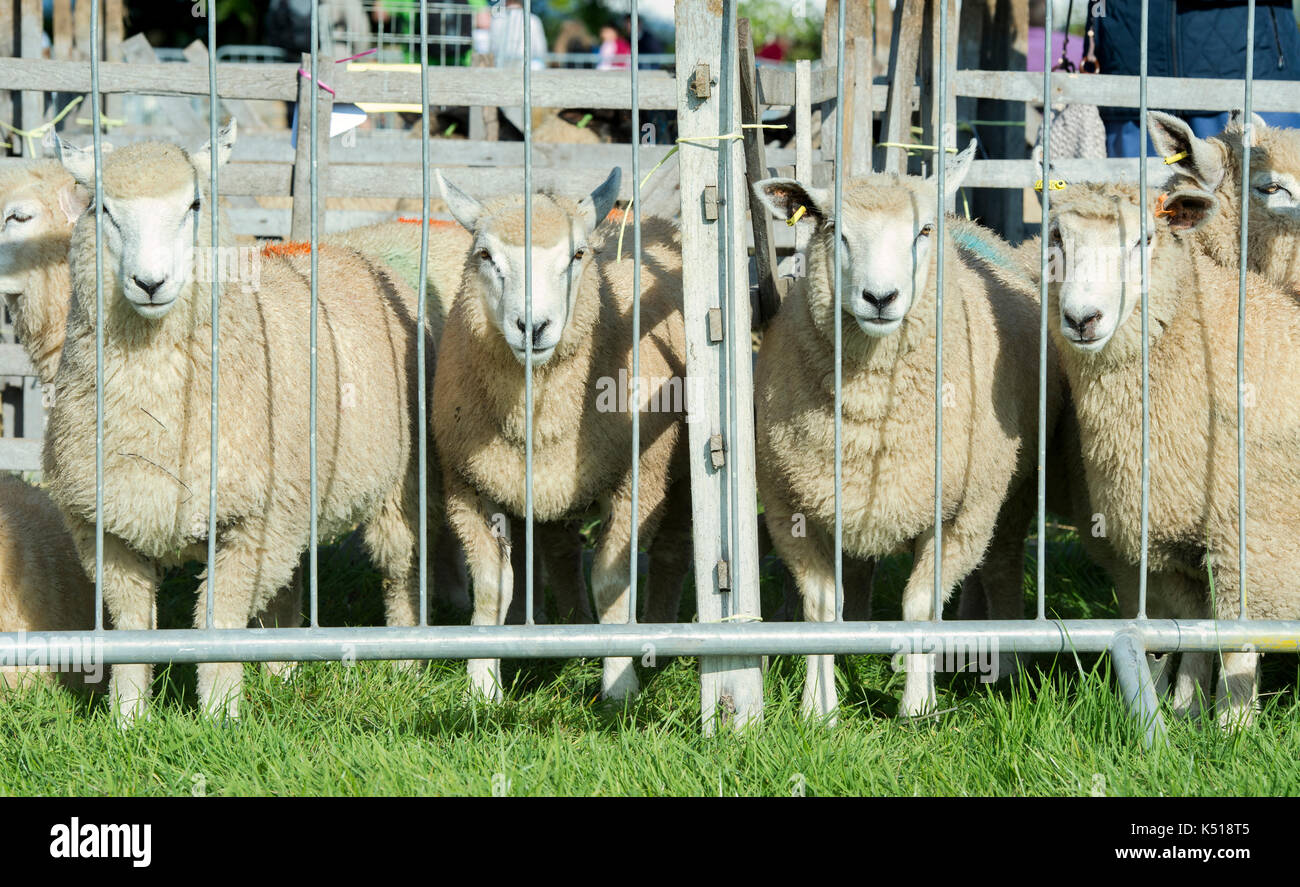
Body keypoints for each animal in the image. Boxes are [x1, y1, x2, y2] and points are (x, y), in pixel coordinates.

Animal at [45, 120, 436, 717]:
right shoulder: (104, 526)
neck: (159, 415)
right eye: (104, 209)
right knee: (288, 587)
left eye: (195, 205)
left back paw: (408, 664)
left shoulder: (254, 520)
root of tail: (354, 248)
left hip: (398, 484)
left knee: (403, 570)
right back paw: (282, 672)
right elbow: (132, 625)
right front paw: (129, 718)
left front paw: (219, 715)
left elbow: (219, 619)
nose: (150, 283)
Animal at [431, 165, 691, 697]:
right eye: (485, 255)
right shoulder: (468, 485)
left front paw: (620, 687)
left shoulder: (635, 483)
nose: (532, 327)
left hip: (676, 476)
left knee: (672, 553)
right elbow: (491, 589)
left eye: (577, 255)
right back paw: (571, 627)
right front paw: (481, 688)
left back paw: (658, 629)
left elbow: (612, 585)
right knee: (560, 550)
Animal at [754, 141, 1066, 712]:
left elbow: (920, 606)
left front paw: (918, 707)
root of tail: (969, 225)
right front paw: (818, 708)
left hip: (1007, 489)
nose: (881, 298)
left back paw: (1002, 663)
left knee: (1001, 564)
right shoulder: (792, 506)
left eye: (921, 232)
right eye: (835, 229)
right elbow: (820, 607)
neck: (871, 411)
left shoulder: (961, 514)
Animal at [1040, 179, 1300, 723]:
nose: (1081, 319)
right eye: (1056, 237)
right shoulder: (1170, 546)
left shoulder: (1256, 540)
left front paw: (1232, 726)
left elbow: (1236, 641)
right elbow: (1193, 631)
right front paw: (1186, 710)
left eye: (1144, 239)